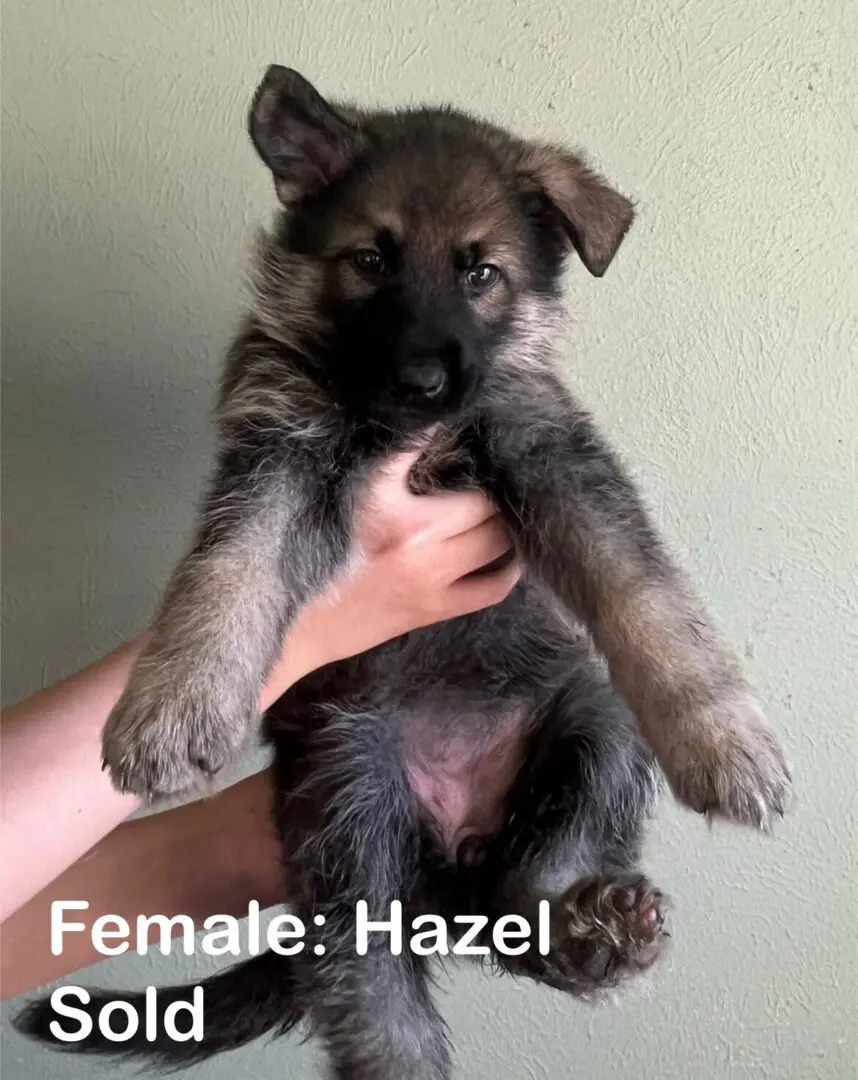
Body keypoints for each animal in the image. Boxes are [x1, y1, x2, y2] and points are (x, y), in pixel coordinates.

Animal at [15, 67, 791, 1080]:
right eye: (372, 260)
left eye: (481, 273)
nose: (424, 382)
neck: (405, 430)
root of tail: (451, 859)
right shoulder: (276, 455)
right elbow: (227, 571)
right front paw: (174, 705)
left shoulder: (549, 450)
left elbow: (644, 590)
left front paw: (727, 741)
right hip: (351, 825)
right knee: (388, 1006)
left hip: (594, 725)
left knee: (527, 889)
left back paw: (588, 932)